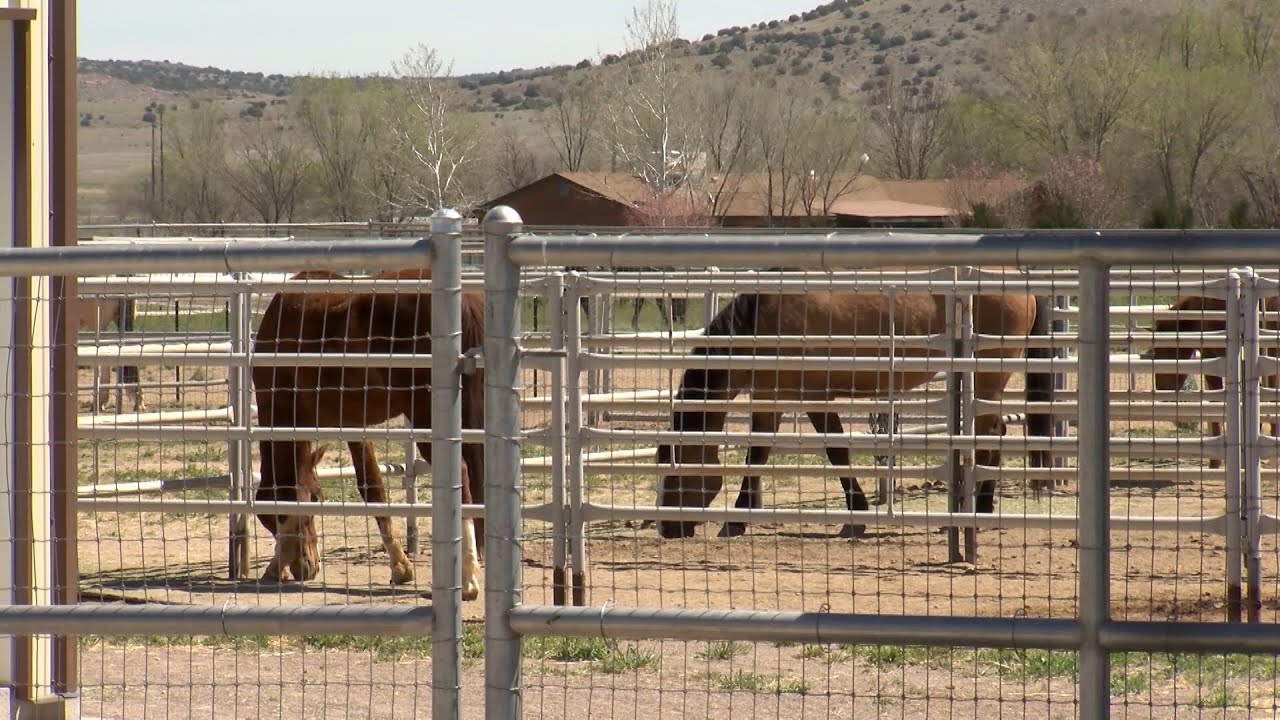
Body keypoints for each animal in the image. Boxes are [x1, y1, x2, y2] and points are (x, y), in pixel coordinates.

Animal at [249, 266, 483, 597]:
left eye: (316, 499)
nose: (306, 567)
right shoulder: (351, 423)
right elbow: (373, 484)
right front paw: (401, 567)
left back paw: (468, 581)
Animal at [655, 285, 1054, 538]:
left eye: (672, 464)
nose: (667, 528)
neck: (761, 324)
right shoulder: (777, 398)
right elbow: (764, 454)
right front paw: (739, 519)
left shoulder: (810, 398)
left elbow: (831, 452)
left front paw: (855, 517)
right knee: (995, 434)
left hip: (988, 376)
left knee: (989, 437)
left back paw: (978, 514)